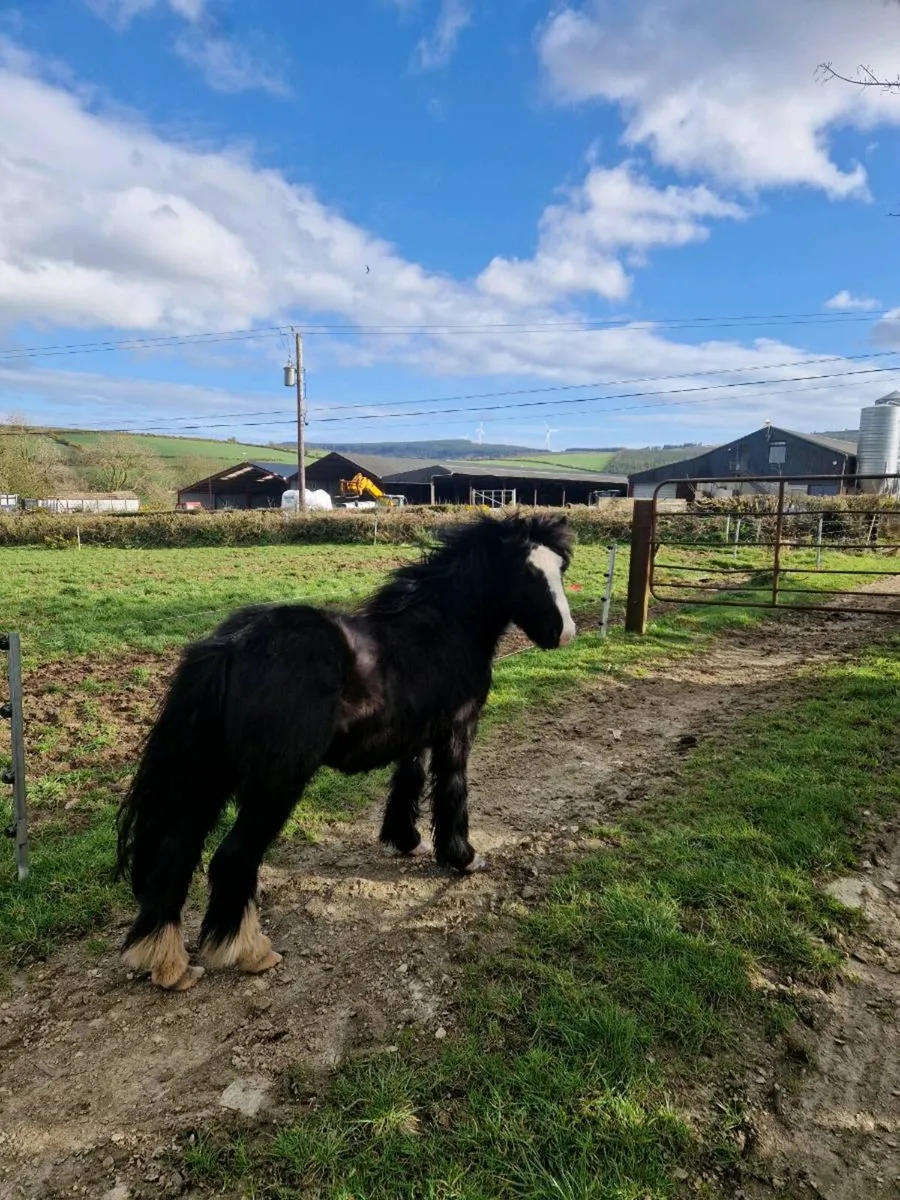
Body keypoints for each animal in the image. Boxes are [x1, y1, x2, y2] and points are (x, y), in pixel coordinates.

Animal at [115, 512, 576, 991]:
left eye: (560, 569)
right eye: (527, 572)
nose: (565, 634)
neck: (444, 628)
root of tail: (231, 645)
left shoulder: (412, 736)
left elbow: (407, 782)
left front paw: (405, 840)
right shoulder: (457, 730)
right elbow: (452, 790)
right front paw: (463, 857)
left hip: (209, 775)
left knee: (175, 852)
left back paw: (169, 965)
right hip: (275, 783)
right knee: (231, 857)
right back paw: (253, 953)